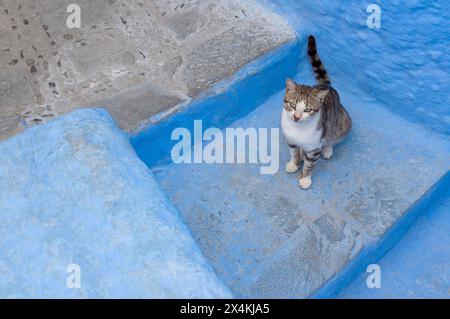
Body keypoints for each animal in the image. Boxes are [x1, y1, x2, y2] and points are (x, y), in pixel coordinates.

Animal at [282, 35, 352, 190]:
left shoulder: (314, 147)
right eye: (292, 105)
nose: (296, 117)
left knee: (332, 136)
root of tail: (325, 86)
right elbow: (294, 153)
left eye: (307, 109)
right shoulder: (291, 140)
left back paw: (327, 149)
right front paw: (294, 164)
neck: (297, 129)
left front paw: (305, 178)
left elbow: (309, 164)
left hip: (342, 122)